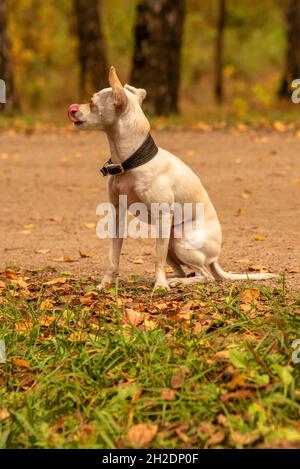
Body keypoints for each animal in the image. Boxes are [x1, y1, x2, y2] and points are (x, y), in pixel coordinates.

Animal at [68, 66, 276, 288]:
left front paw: (160, 286)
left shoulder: (163, 217)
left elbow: (156, 260)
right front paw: (105, 284)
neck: (132, 162)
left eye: (92, 102)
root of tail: (215, 259)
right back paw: (174, 279)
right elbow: (113, 256)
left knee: (205, 276)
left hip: (179, 240)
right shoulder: (118, 214)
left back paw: (174, 283)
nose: (72, 109)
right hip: (169, 243)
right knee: (184, 271)